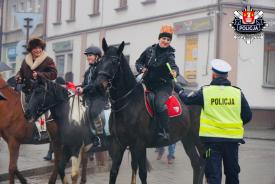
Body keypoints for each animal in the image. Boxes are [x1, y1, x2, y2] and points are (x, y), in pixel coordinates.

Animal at [94, 37, 206, 184]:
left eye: (114, 62)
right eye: (100, 61)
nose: (99, 85)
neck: (128, 103)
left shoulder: (139, 145)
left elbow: (142, 173)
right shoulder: (119, 144)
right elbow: (114, 172)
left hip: (197, 138)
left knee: (203, 163)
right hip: (186, 138)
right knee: (197, 164)